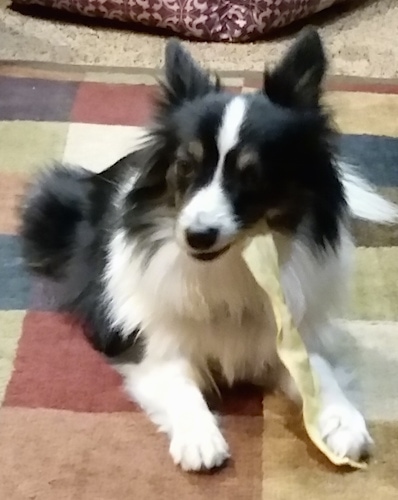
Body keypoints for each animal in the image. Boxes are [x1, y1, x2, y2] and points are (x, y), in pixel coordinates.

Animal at [21, 29, 398, 470]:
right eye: (185, 166)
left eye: (253, 176)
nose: (197, 236)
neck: (231, 265)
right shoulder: (154, 349)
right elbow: (181, 387)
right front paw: (200, 438)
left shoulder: (287, 339)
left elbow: (319, 377)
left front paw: (343, 422)